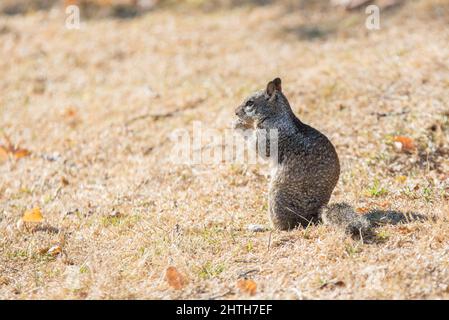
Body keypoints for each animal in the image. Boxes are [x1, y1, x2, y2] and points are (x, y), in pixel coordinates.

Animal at [233, 77, 370, 238]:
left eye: (250, 103)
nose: (235, 112)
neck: (275, 114)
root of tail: (314, 215)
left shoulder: (268, 134)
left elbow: (258, 147)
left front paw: (239, 125)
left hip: (276, 196)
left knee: (283, 227)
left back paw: (259, 227)